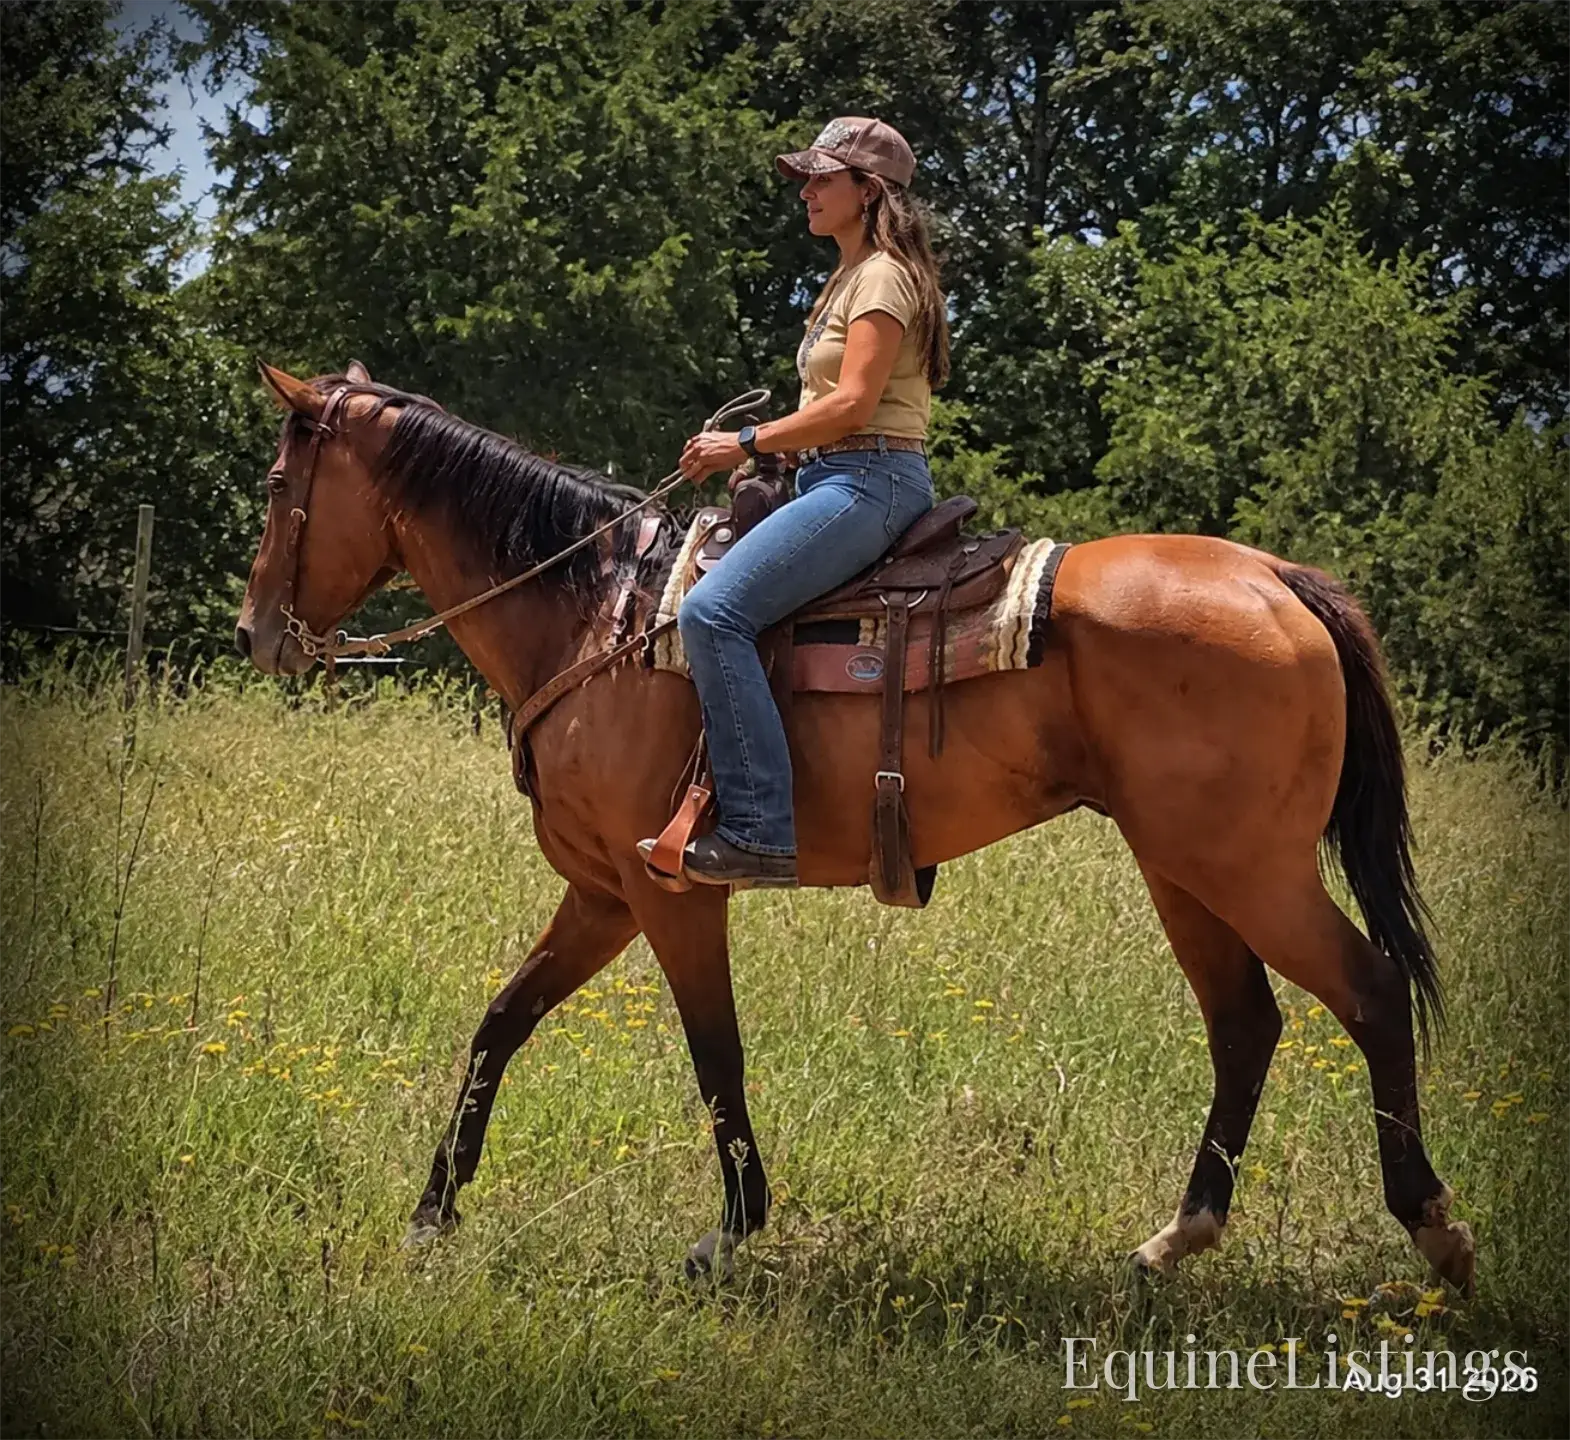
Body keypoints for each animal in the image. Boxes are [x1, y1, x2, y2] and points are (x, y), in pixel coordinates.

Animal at [235, 360, 1475, 1293]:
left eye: (276, 478)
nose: (256, 633)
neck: (600, 620)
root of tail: (1276, 575)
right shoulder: (599, 894)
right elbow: (502, 1021)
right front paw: (433, 1211)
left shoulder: (669, 891)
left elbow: (714, 1052)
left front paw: (729, 1231)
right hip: (1182, 868)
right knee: (1245, 1023)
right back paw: (1178, 1239)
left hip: (1245, 867)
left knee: (1366, 992)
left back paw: (1433, 1232)